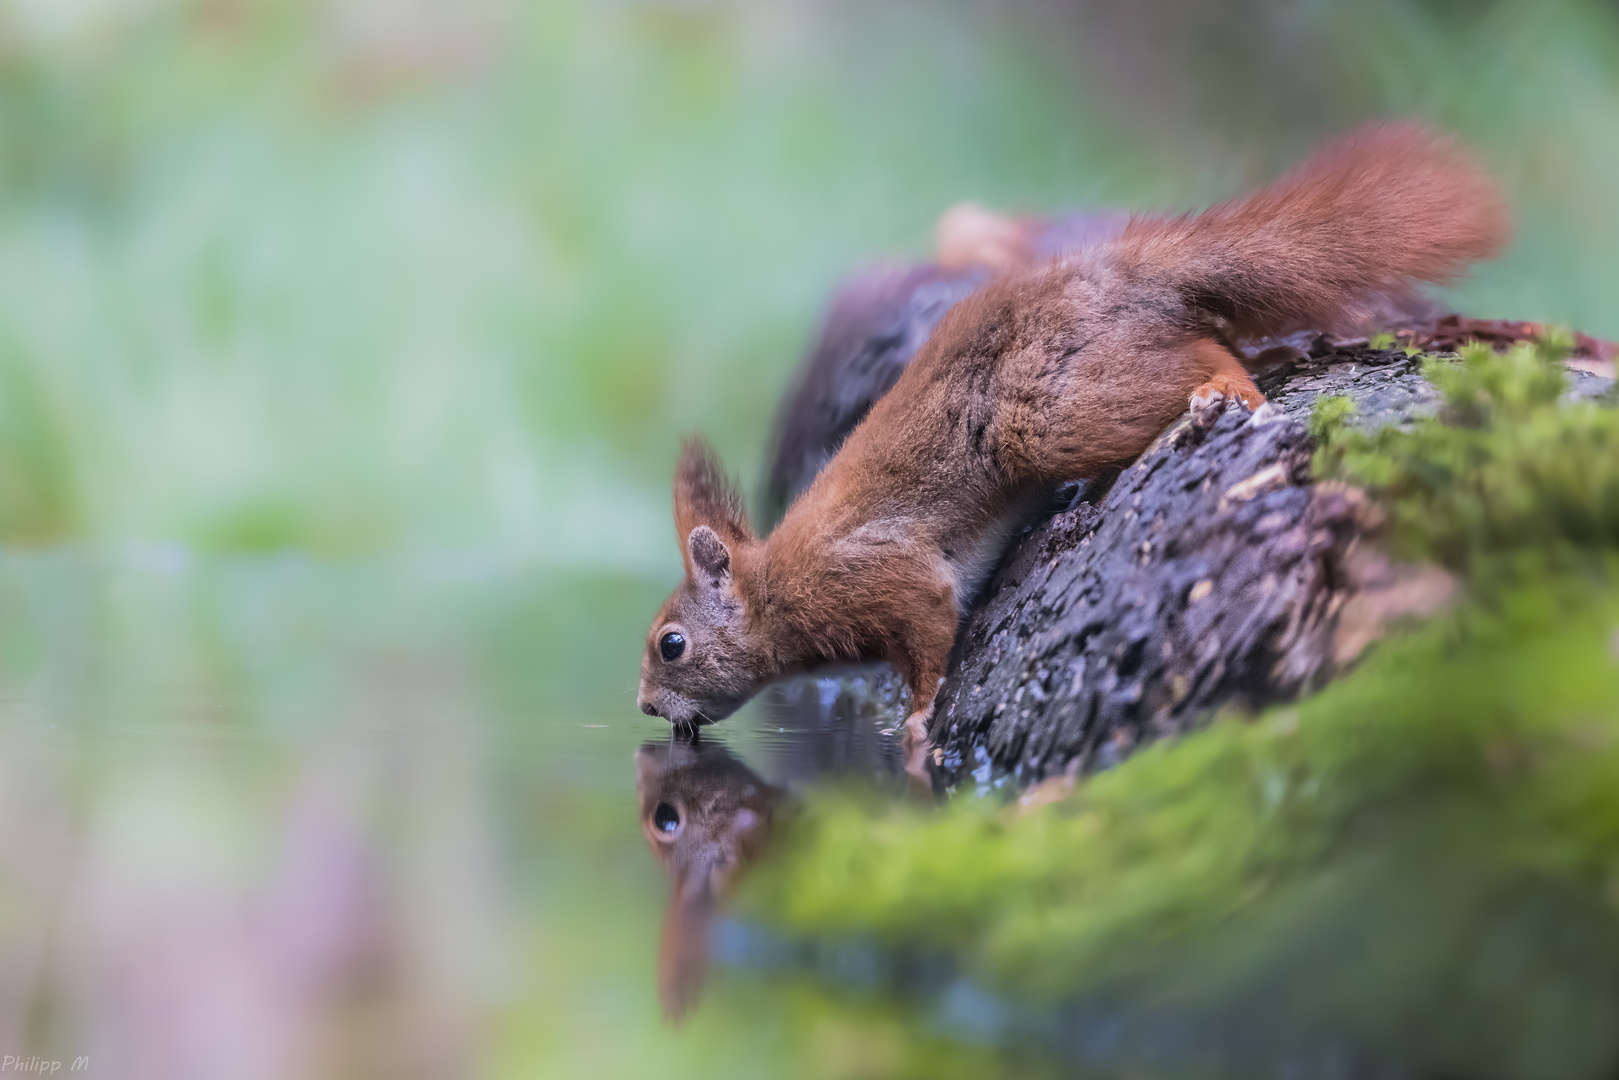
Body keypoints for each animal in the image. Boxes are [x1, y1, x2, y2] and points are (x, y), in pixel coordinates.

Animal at [631, 122, 1502, 748]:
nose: (641, 706)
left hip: (1047, 415)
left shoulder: (878, 578)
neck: (776, 587)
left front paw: (915, 720)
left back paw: (1228, 387)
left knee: (1201, 353)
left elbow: (927, 632)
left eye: (671, 644)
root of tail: (1118, 274)